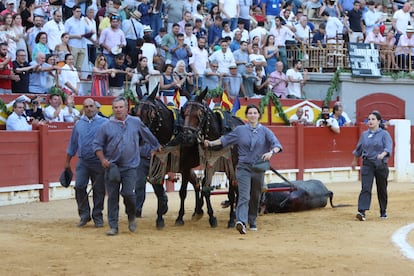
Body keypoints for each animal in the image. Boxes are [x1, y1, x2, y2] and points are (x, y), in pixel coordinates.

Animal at [133, 87, 207, 229]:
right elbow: (158, 191)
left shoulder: (185, 168)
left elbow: (182, 192)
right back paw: (197, 211)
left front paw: (179, 218)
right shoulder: (159, 167)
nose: (139, 136)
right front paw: (160, 219)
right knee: (196, 183)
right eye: (135, 112)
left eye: (151, 113)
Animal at [176, 88, 244, 229]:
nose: (186, 137)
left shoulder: (230, 166)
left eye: (200, 114)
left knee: (236, 186)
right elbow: (206, 188)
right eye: (184, 113)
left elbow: (231, 190)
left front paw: (231, 219)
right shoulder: (208, 164)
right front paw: (210, 217)